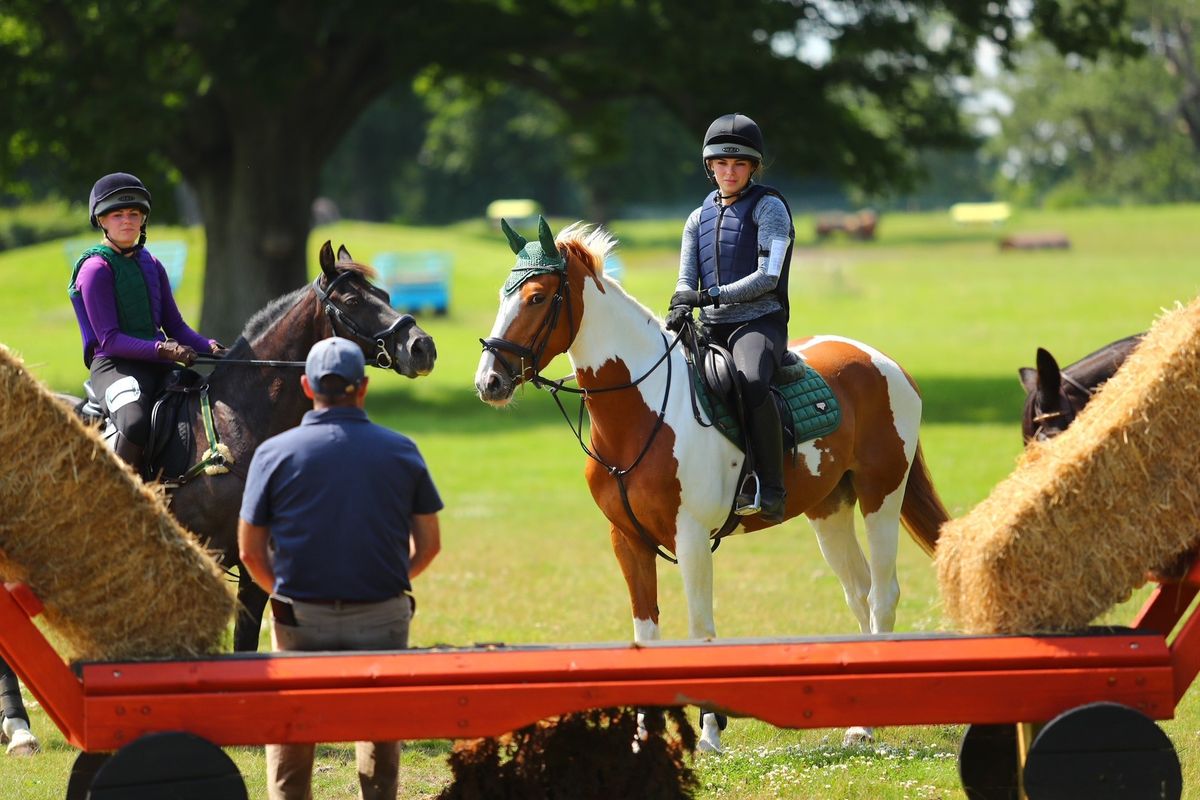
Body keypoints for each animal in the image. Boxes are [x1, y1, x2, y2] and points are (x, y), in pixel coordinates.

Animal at [62, 242, 436, 652]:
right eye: (353, 300)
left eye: (384, 296)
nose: (422, 347)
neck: (239, 422)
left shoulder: (255, 567)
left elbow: (246, 641)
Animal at [472, 219, 950, 753]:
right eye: (503, 294)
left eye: (536, 297)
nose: (489, 381)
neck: (641, 414)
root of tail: (883, 361)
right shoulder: (628, 540)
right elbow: (645, 634)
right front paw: (644, 739)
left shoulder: (692, 537)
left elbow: (701, 630)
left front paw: (710, 736)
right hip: (829, 508)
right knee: (859, 592)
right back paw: (857, 721)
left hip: (881, 497)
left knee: (883, 593)